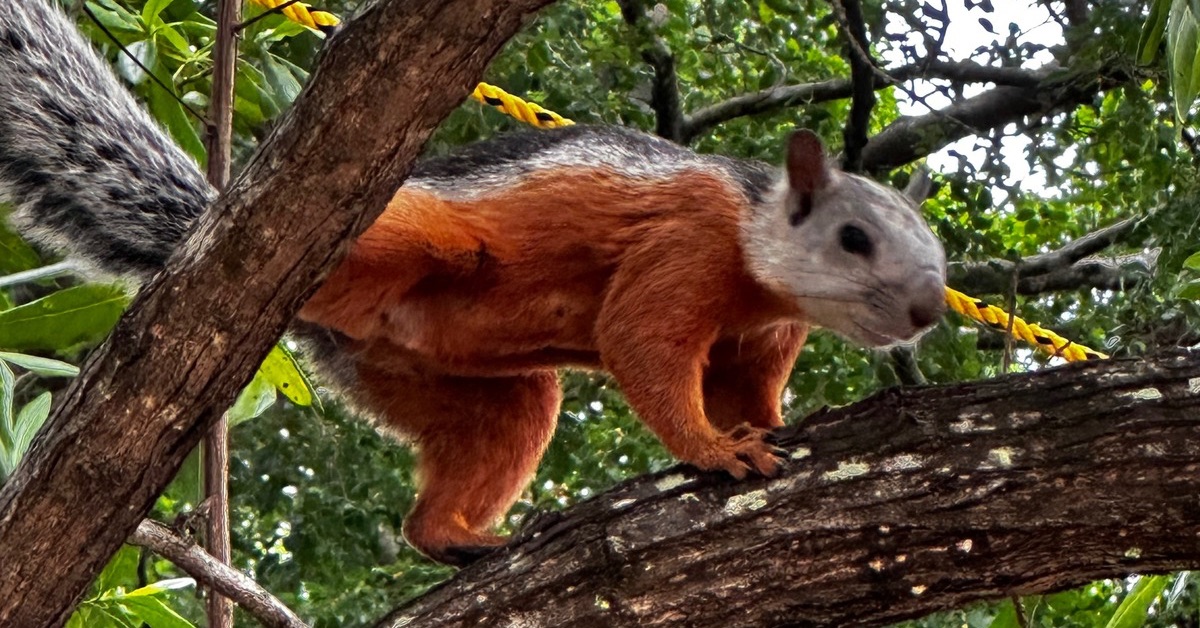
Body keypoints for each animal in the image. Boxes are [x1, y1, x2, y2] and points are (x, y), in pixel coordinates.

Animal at [0, 1, 946, 566]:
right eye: (853, 237)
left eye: (932, 247)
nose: (927, 309)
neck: (757, 256)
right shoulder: (682, 243)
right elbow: (643, 342)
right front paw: (717, 450)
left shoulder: (759, 334)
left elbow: (742, 386)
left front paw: (771, 422)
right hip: (408, 231)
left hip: (448, 386)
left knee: (469, 460)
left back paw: (465, 540)